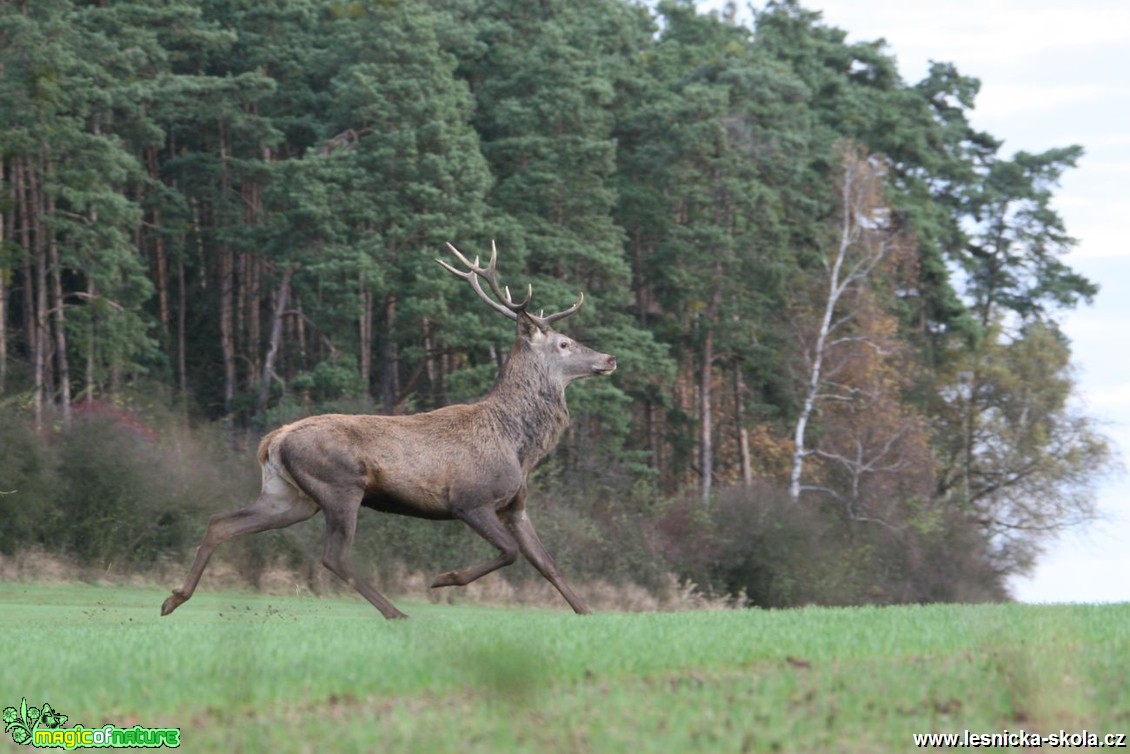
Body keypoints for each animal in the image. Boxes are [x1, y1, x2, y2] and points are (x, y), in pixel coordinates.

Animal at [161, 241, 610, 619]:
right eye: (565, 343)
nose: (609, 358)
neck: (519, 446)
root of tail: (273, 439)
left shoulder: (515, 506)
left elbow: (547, 563)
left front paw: (587, 612)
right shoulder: (470, 499)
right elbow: (511, 552)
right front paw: (444, 578)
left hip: (288, 495)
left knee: (221, 523)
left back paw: (174, 598)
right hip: (339, 485)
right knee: (335, 556)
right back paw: (396, 612)